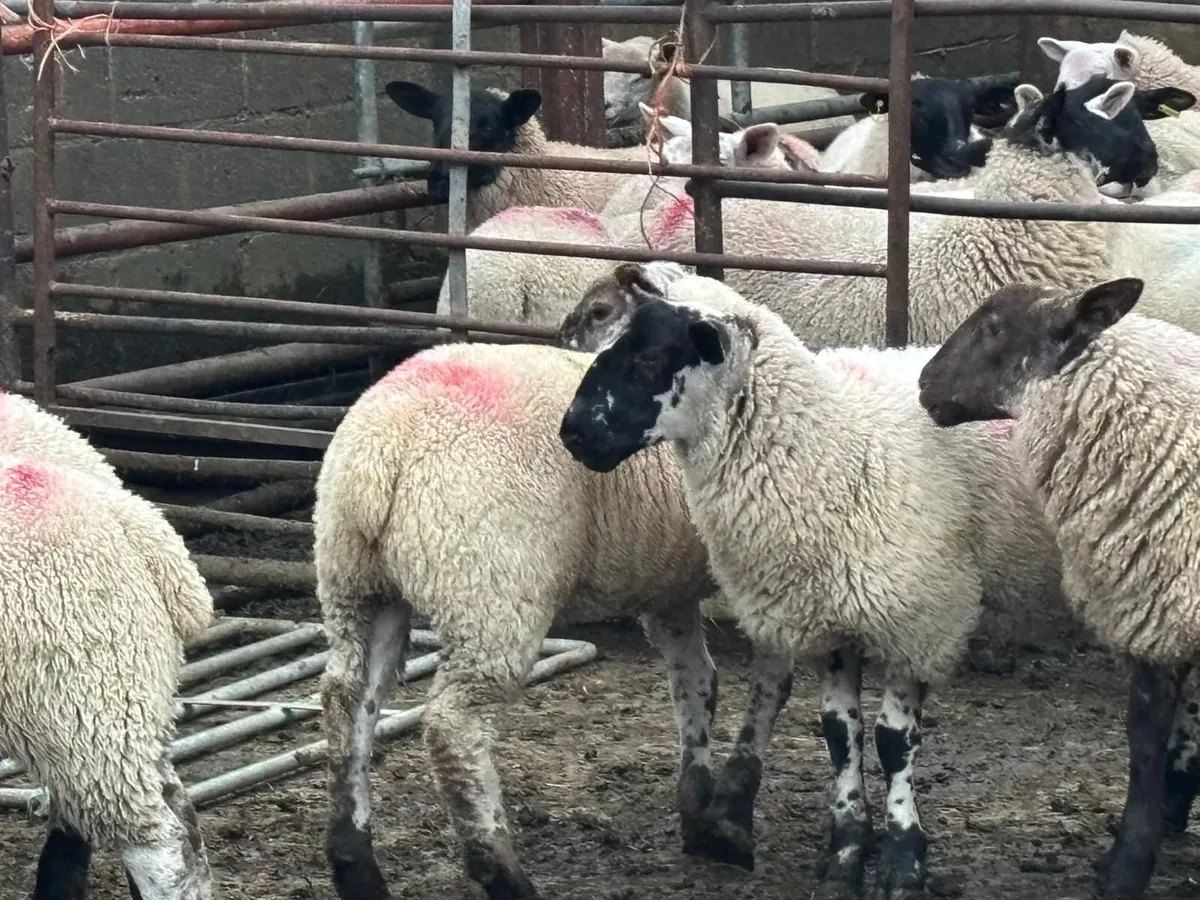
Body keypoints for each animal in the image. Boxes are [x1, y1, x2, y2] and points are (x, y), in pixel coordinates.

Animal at [315, 340, 799, 900]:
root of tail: (382, 446)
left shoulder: (668, 585)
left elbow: (695, 682)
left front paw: (699, 813)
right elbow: (770, 686)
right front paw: (730, 821)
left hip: (356, 584)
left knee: (348, 701)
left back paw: (356, 864)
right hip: (490, 589)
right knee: (453, 728)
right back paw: (503, 871)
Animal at [558, 272, 1065, 898]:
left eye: (651, 356)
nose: (573, 433)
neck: (832, 445)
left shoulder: (919, 617)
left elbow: (893, 741)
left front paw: (903, 858)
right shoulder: (830, 615)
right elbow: (839, 733)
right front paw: (845, 852)